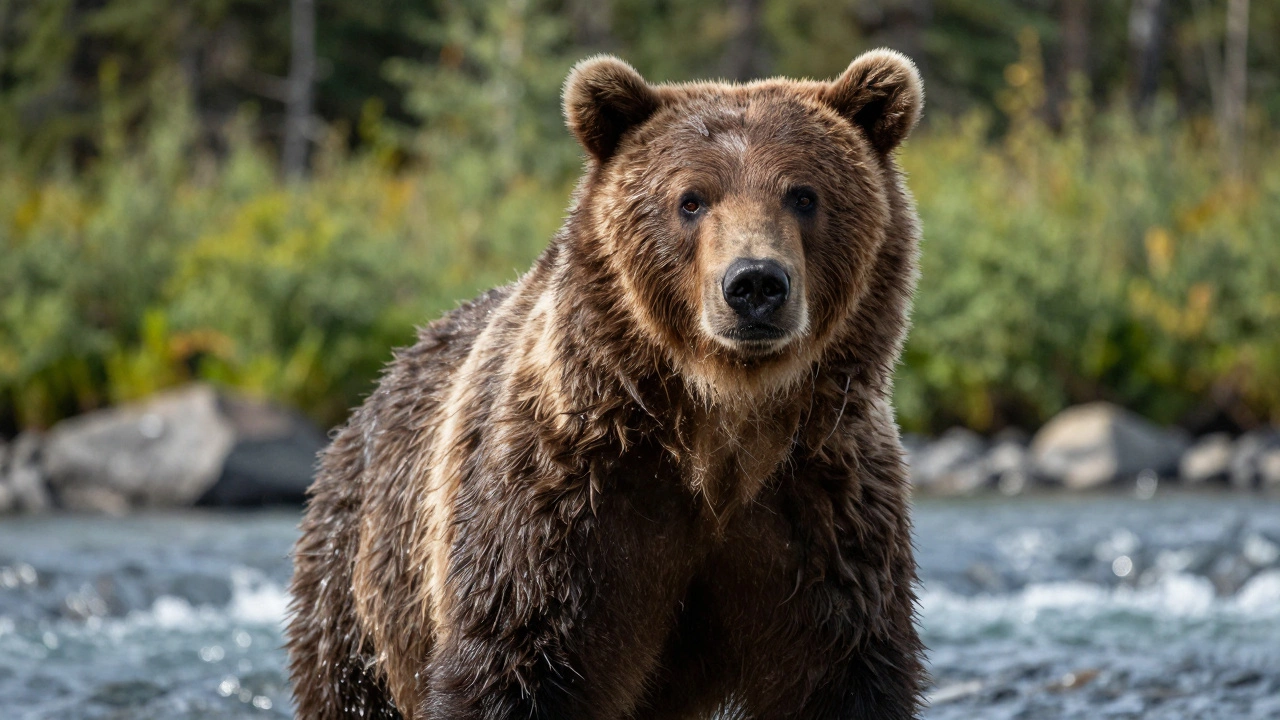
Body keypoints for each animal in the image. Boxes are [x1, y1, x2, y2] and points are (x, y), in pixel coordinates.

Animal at [287, 49, 926, 720]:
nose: (754, 283)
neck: (720, 422)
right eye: (691, 200)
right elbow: (511, 659)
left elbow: (844, 669)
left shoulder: (824, 507)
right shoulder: (566, 502)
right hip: (361, 581)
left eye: (803, 194)